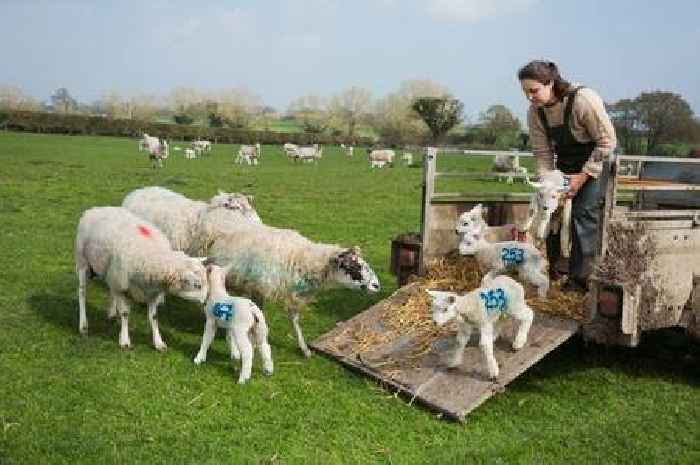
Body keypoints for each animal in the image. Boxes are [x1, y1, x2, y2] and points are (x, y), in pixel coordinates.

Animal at [77, 205, 209, 350]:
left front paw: (158, 342)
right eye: (197, 285)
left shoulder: (152, 292)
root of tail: (96, 209)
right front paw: (125, 340)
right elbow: (125, 313)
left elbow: (154, 317)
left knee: (111, 290)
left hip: (111, 272)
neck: (152, 254)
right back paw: (83, 325)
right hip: (82, 262)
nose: (207, 302)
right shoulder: (122, 286)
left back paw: (111, 313)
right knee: (82, 293)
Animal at [205, 221, 380, 356]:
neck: (300, 257)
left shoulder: (289, 294)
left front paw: (304, 349)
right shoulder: (260, 288)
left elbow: (294, 320)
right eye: (352, 266)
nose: (377, 285)